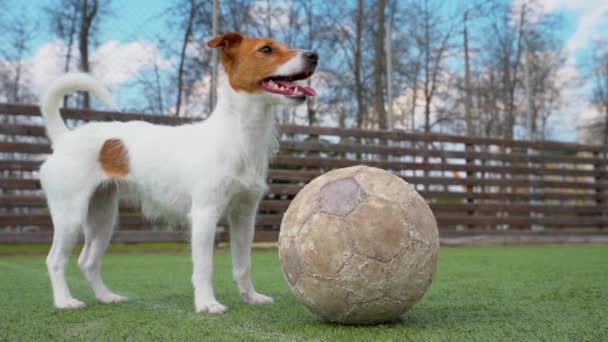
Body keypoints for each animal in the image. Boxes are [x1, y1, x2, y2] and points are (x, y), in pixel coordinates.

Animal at [39, 32, 318, 312]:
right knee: (55, 260)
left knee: (87, 261)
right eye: (266, 49)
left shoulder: (244, 215)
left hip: (103, 218)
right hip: (70, 216)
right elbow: (204, 267)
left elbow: (242, 264)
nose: (314, 55)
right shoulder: (205, 215)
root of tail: (64, 137)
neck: (239, 136)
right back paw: (64, 301)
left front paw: (250, 297)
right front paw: (207, 304)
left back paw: (107, 297)